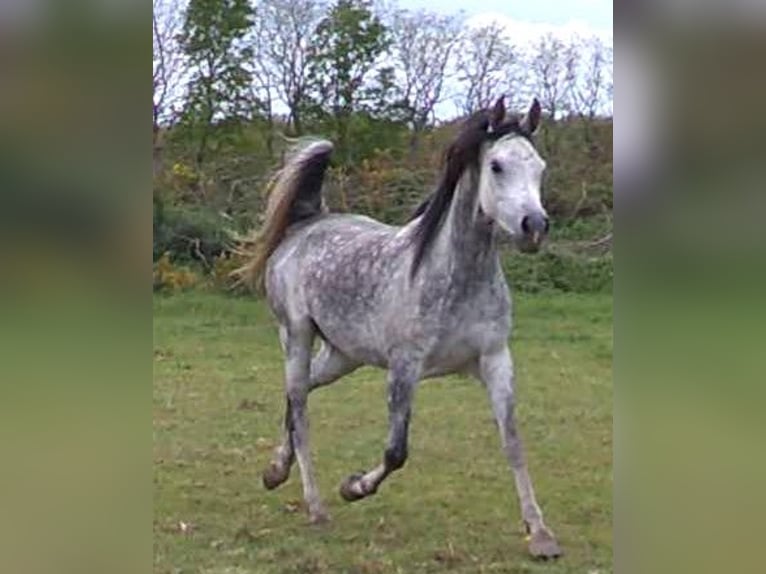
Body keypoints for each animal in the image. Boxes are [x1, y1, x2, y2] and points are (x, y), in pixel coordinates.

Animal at [238, 97, 564, 560]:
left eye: (539, 166)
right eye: (497, 165)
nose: (533, 227)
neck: (453, 274)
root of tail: (307, 224)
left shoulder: (496, 360)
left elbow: (513, 442)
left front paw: (539, 533)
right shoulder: (404, 368)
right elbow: (396, 452)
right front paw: (353, 487)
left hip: (342, 357)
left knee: (296, 396)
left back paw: (274, 471)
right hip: (295, 336)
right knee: (300, 408)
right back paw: (316, 506)